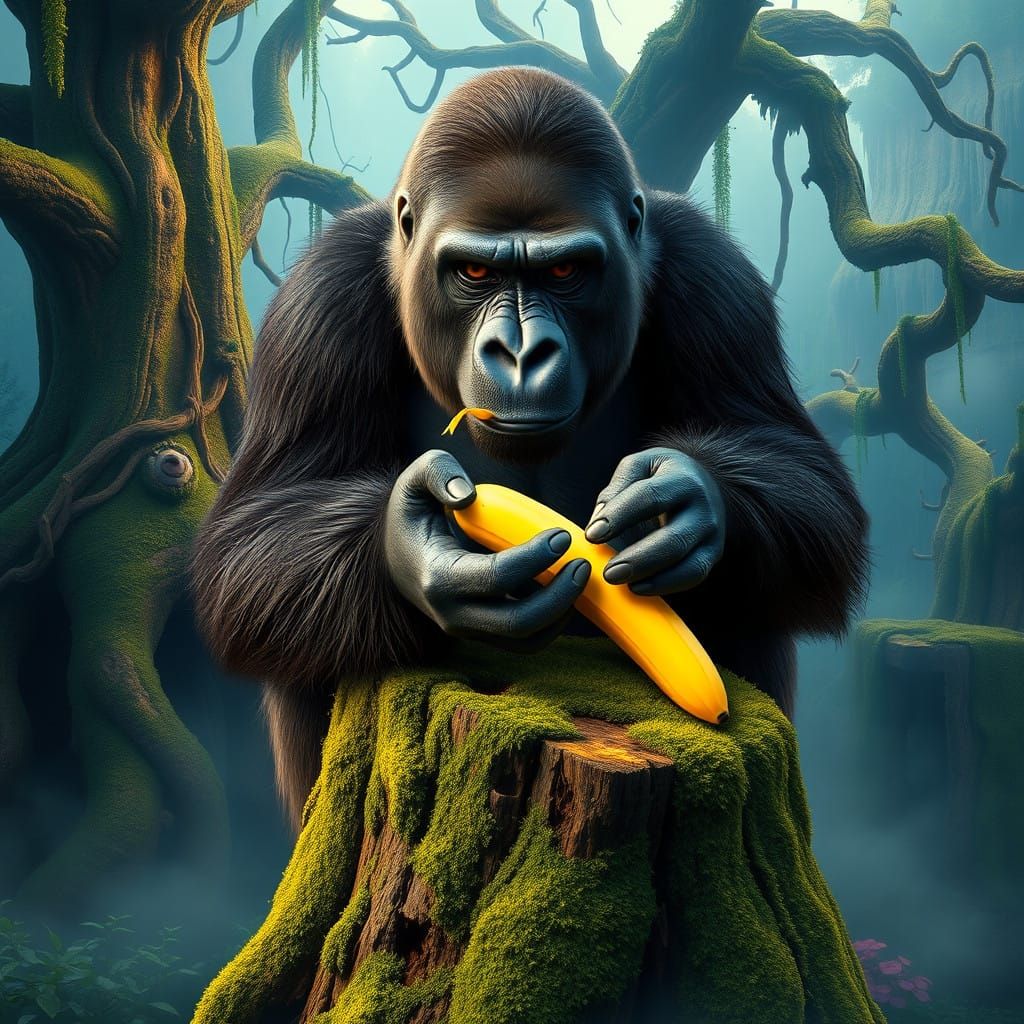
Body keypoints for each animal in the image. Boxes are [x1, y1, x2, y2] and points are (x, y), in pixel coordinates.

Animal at [192, 68, 868, 828]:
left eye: (566, 273)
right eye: (475, 274)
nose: (520, 352)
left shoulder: (712, 269)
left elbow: (802, 479)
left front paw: (692, 503)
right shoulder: (322, 293)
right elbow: (255, 541)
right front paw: (411, 545)